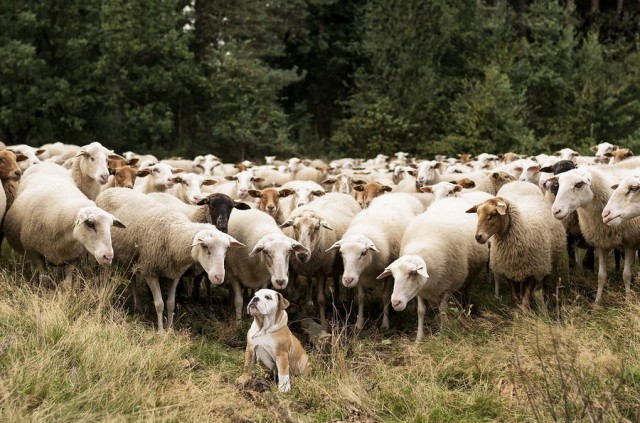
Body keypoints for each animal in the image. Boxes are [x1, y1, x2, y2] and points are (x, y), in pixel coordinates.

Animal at [96, 188, 244, 332]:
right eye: (205, 246)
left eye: (226, 249)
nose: (219, 277)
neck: (171, 231)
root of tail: (110, 189)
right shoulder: (150, 271)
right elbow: (160, 304)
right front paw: (161, 331)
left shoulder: (174, 274)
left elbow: (171, 303)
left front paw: (170, 329)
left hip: (131, 257)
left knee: (131, 278)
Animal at [282, 194, 362, 326]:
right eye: (294, 227)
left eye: (317, 227)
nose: (302, 255)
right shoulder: (292, 268)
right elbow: (288, 293)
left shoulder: (322, 271)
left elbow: (321, 300)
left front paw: (324, 324)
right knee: (335, 278)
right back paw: (337, 299)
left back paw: (348, 302)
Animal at [324, 195, 424, 332]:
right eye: (341, 252)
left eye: (363, 252)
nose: (348, 280)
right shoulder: (360, 276)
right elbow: (361, 297)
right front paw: (359, 323)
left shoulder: (389, 274)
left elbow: (385, 297)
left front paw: (385, 324)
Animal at [376, 198, 490, 342]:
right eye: (394, 276)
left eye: (413, 273)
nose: (396, 303)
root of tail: (454, 198)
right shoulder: (421, 288)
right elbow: (421, 310)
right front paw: (419, 338)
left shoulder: (451, 284)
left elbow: (442, 309)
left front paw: (443, 332)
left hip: (471, 274)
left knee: (467, 289)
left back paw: (466, 307)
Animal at [552, 167, 640, 304]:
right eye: (558, 185)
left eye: (579, 184)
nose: (556, 211)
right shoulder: (601, 244)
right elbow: (601, 276)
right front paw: (597, 303)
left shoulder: (630, 243)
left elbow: (626, 275)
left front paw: (628, 299)